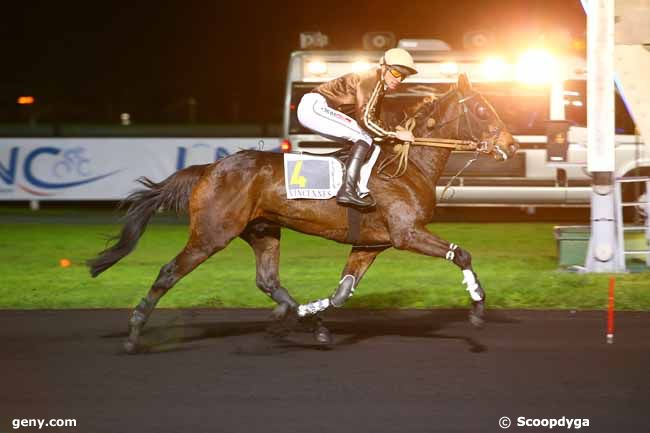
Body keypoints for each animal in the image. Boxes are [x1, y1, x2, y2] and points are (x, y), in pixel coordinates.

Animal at [90, 73, 516, 352]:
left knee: (267, 280)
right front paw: (478, 307)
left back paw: (302, 320)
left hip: (262, 231)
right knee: (168, 272)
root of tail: (210, 168)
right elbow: (462, 254)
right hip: (212, 234)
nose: (510, 145)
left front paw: (315, 313)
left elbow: (342, 293)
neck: (405, 166)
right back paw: (134, 332)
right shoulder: (407, 233)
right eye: (482, 109)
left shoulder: (371, 245)